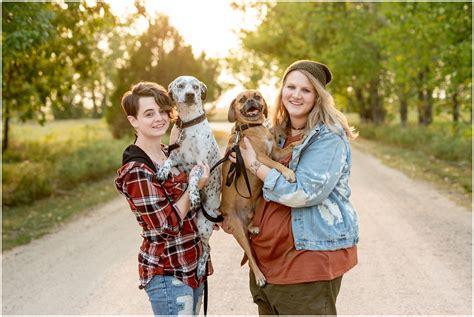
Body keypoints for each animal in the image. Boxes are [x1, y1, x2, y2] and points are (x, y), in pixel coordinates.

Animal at [156, 75, 221, 278]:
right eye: (180, 86)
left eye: (195, 87)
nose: (191, 94)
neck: (187, 124)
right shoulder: (176, 158)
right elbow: (168, 162)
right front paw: (162, 171)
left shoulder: (201, 165)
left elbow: (193, 180)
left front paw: (193, 196)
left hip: (203, 224)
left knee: (207, 248)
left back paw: (200, 268)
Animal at [218, 89, 298, 286]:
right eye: (242, 99)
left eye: (257, 96)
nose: (251, 101)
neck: (253, 127)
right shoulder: (261, 157)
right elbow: (276, 165)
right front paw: (288, 172)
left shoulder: (276, 152)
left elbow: (290, 147)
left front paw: (302, 140)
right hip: (238, 231)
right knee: (250, 255)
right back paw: (260, 276)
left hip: (258, 201)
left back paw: (253, 225)